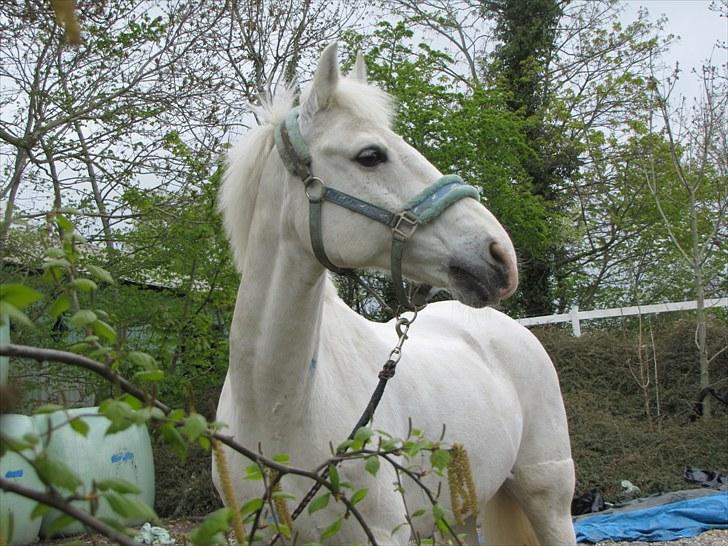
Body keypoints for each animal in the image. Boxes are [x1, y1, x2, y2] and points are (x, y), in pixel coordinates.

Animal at [213, 43, 576, 544]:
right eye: (370, 155)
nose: (500, 255)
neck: (278, 406)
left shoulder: (383, 532)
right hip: (462, 513)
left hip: (549, 498)